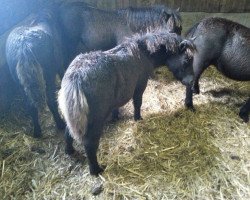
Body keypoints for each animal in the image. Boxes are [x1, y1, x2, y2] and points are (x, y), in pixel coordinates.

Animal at [5, 9, 66, 138]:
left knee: (30, 106)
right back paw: (60, 124)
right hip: (48, 75)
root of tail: (24, 47)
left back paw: (37, 132)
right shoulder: (59, 63)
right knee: (50, 100)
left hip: (20, 84)